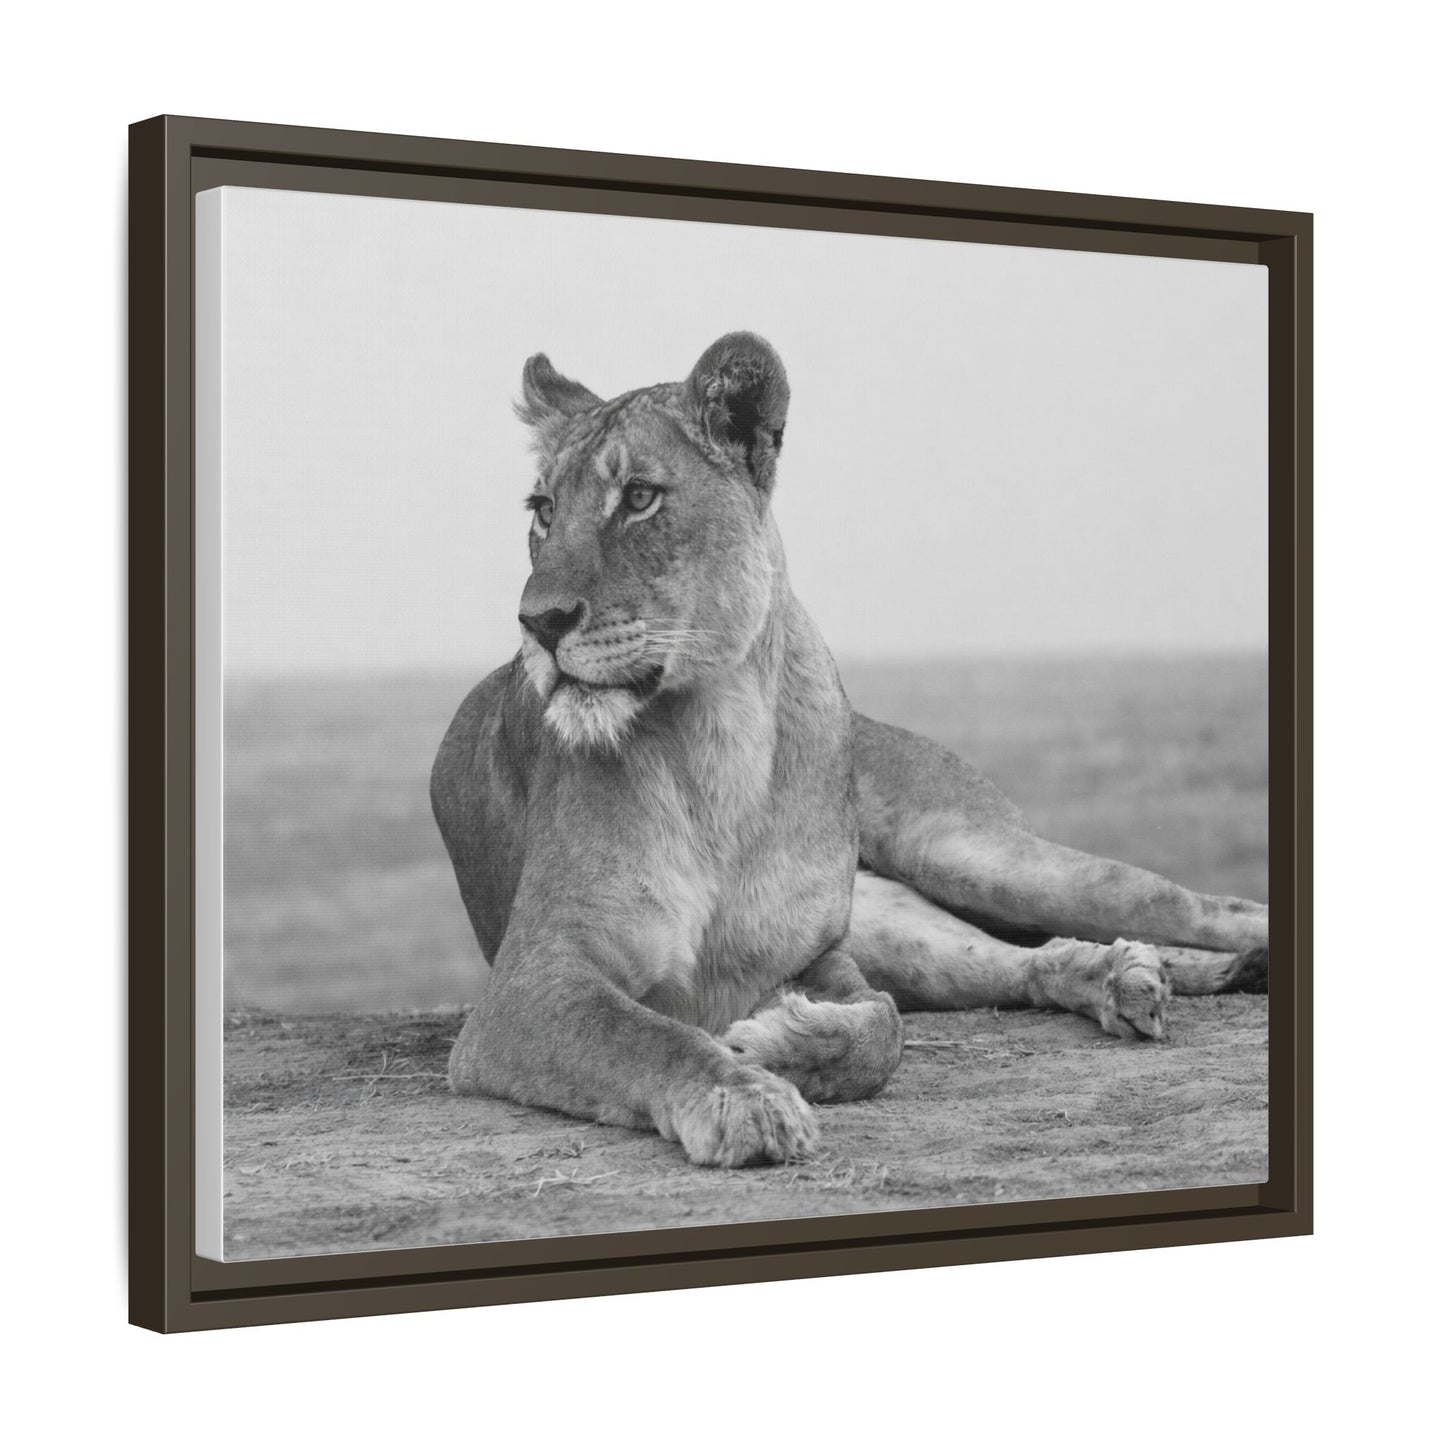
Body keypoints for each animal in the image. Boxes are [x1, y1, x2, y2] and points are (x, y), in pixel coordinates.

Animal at [431, 332, 1268, 1167]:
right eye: (543, 511)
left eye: (639, 497)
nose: (537, 622)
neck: (718, 742)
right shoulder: (531, 981)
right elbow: (646, 1034)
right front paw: (743, 1094)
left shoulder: (815, 956)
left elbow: (882, 1030)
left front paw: (772, 1044)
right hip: (899, 920)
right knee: (1019, 960)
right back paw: (1127, 974)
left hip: (963, 852)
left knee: (1184, 903)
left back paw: (1201, 957)